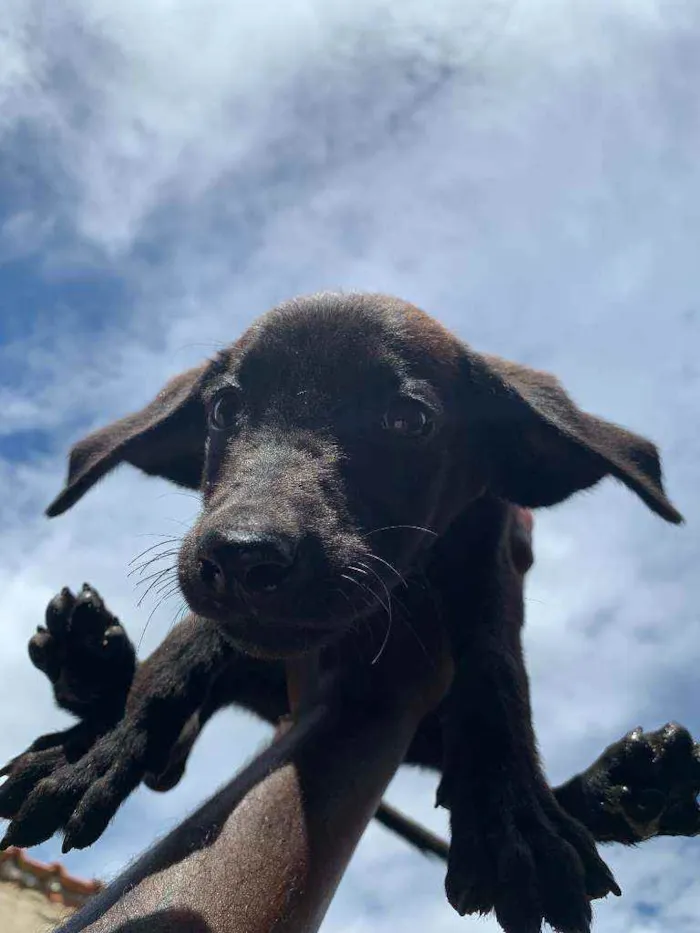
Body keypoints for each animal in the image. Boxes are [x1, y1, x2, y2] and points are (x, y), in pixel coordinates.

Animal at [0, 294, 688, 932]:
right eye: (223, 411)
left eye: (408, 420)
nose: (243, 555)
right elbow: (183, 653)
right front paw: (99, 747)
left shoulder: (489, 554)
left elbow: (496, 670)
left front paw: (514, 817)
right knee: (171, 756)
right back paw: (87, 668)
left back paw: (624, 789)